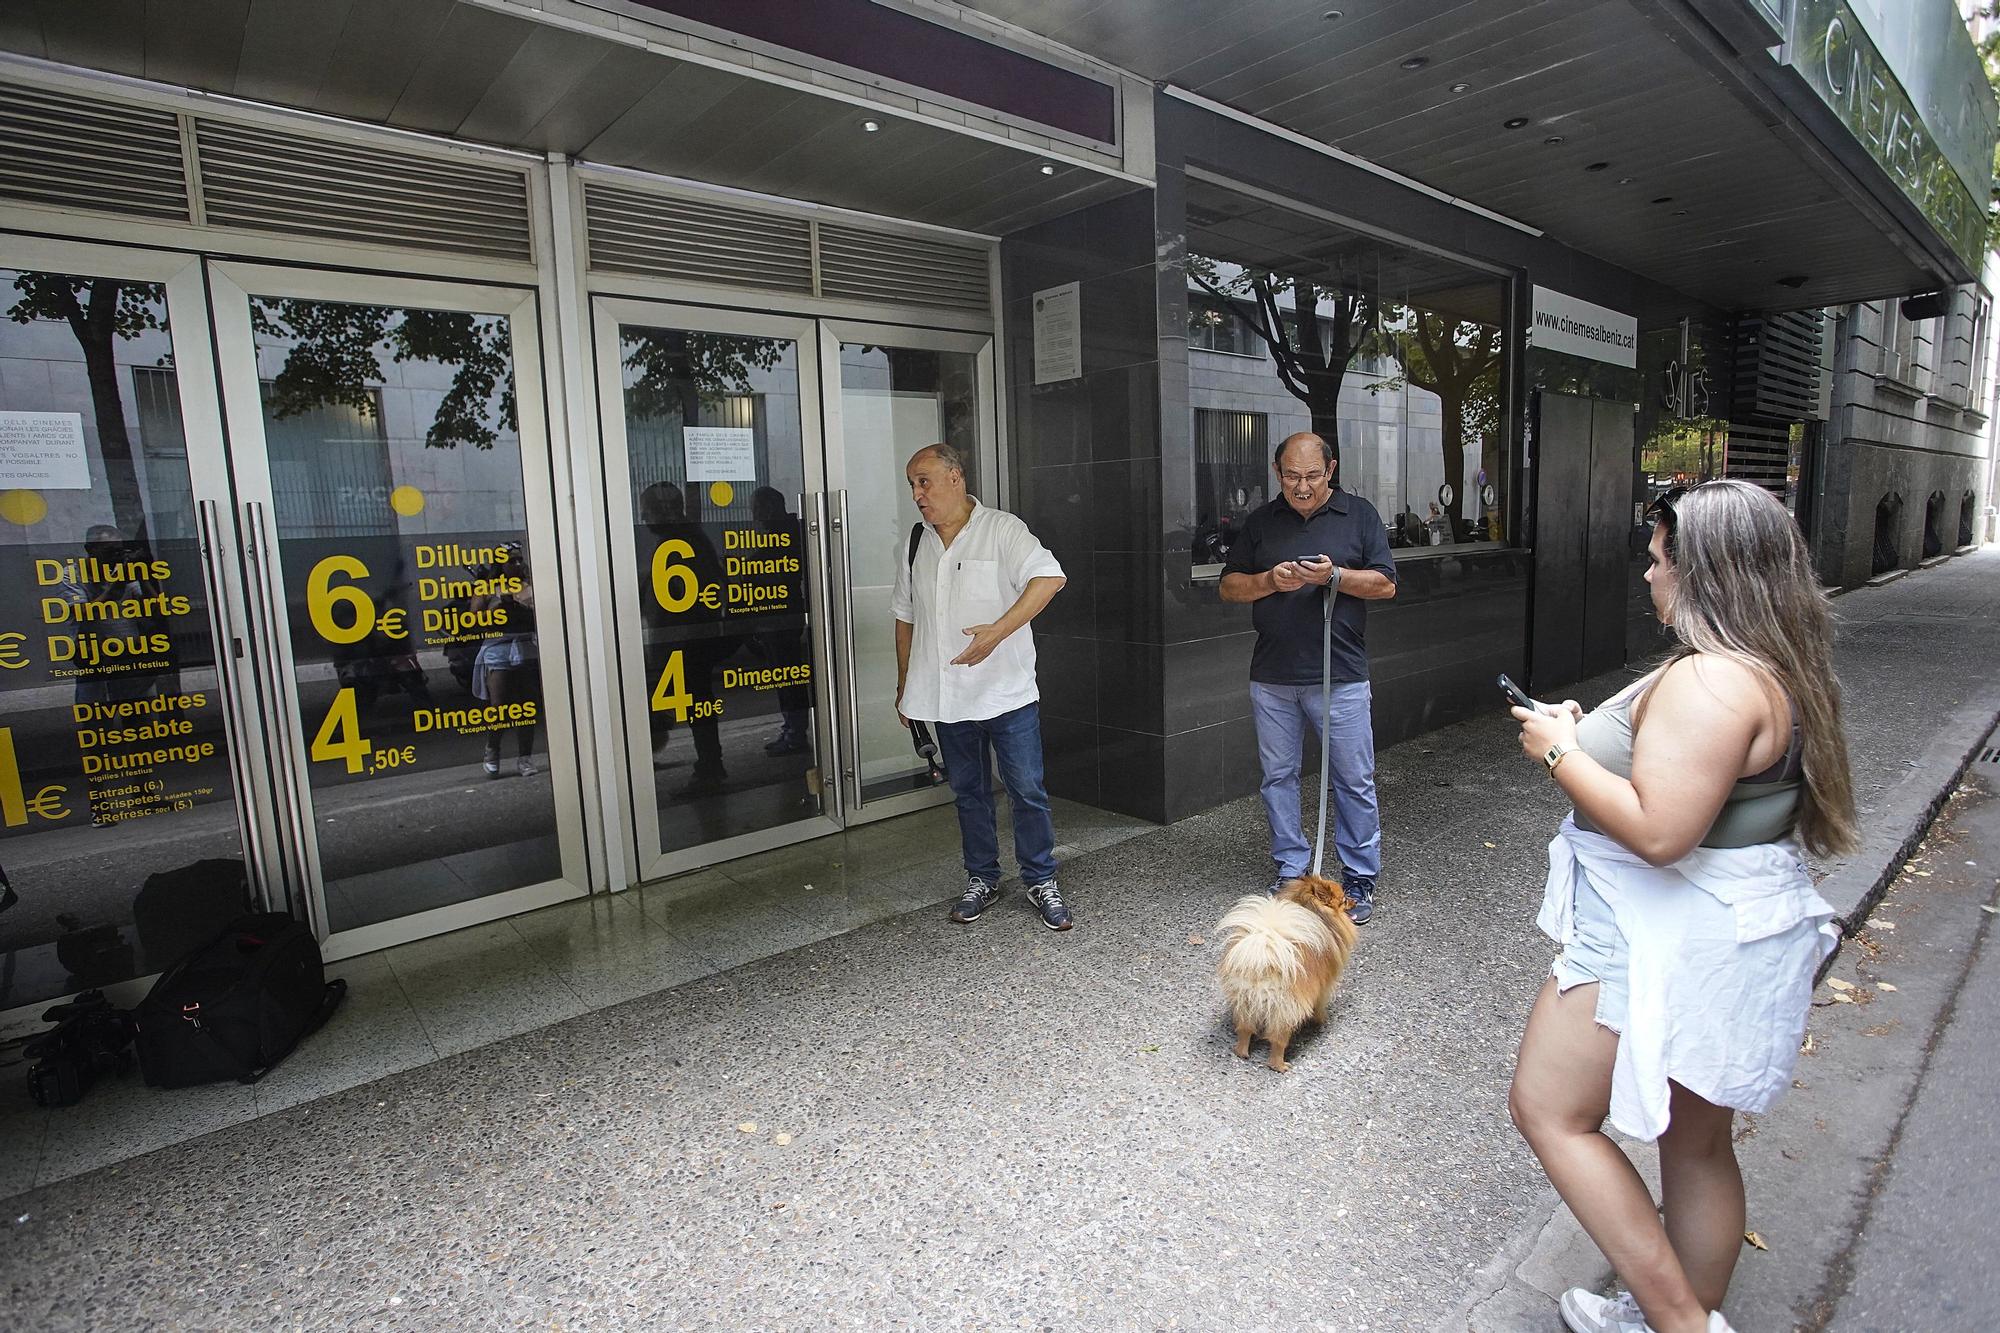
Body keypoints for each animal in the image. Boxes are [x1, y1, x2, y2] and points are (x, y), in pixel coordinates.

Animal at [1208, 872, 1352, 1072]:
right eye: (1344, 899)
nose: (1354, 900)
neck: (1308, 907)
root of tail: (1264, 959)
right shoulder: (1324, 986)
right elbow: (1319, 1005)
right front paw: (1321, 1019)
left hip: (1244, 1002)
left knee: (1245, 1029)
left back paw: (1242, 1052)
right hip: (1285, 1011)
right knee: (1277, 1041)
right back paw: (1280, 1065)